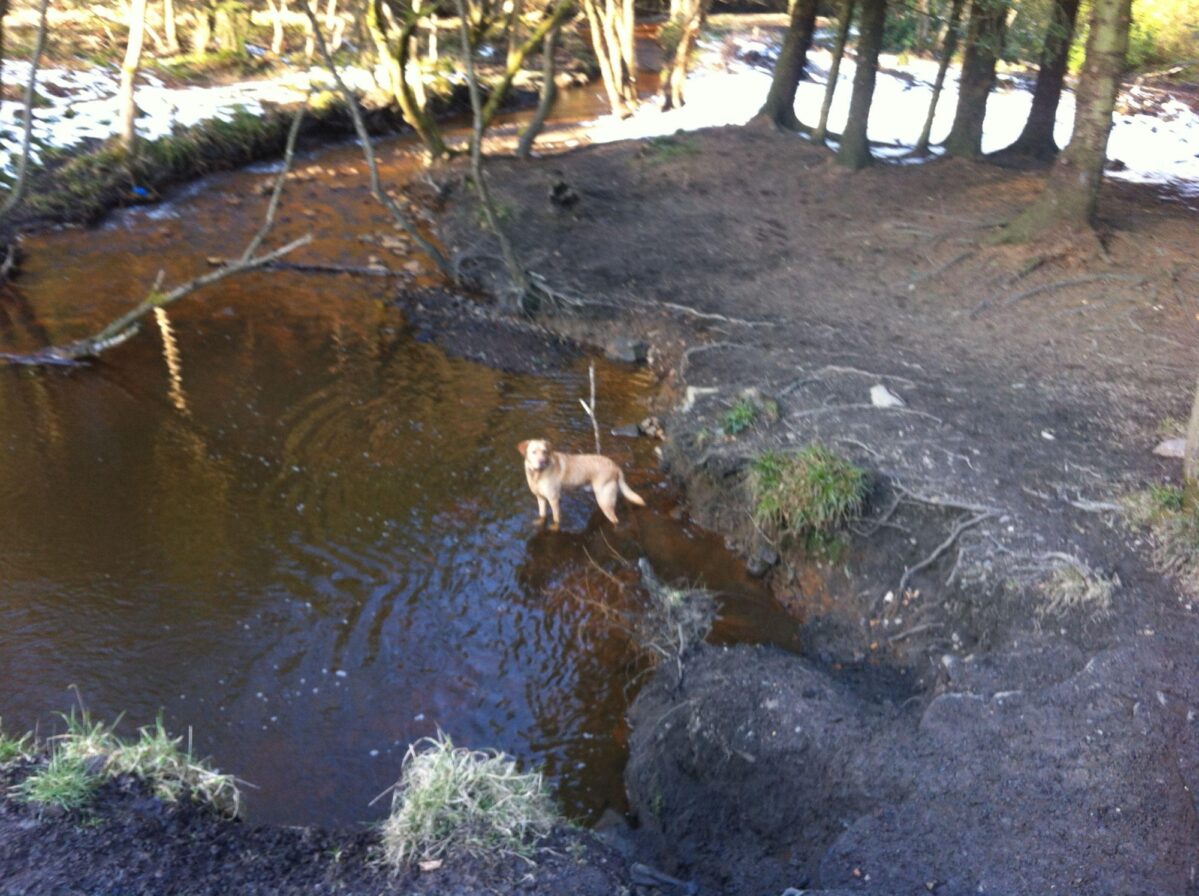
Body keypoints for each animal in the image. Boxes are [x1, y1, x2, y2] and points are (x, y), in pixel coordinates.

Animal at [515, 439, 647, 530]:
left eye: (545, 451)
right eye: (534, 452)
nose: (542, 461)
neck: (537, 475)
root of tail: (615, 466)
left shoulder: (553, 499)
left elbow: (556, 518)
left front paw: (554, 528)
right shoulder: (541, 498)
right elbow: (542, 515)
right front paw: (539, 522)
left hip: (604, 499)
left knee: (615, 520)